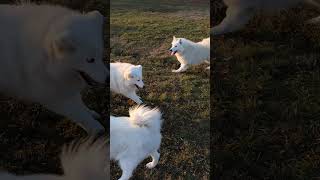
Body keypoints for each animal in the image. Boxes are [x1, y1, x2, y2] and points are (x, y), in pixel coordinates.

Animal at [0, 3, 109, 134]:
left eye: (100, 56)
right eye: (90, 60)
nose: (108, 79)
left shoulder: (61, 87)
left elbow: (80, 104)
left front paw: (90, 113)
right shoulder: (52, 96)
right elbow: (79, 114)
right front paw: (96, 129)